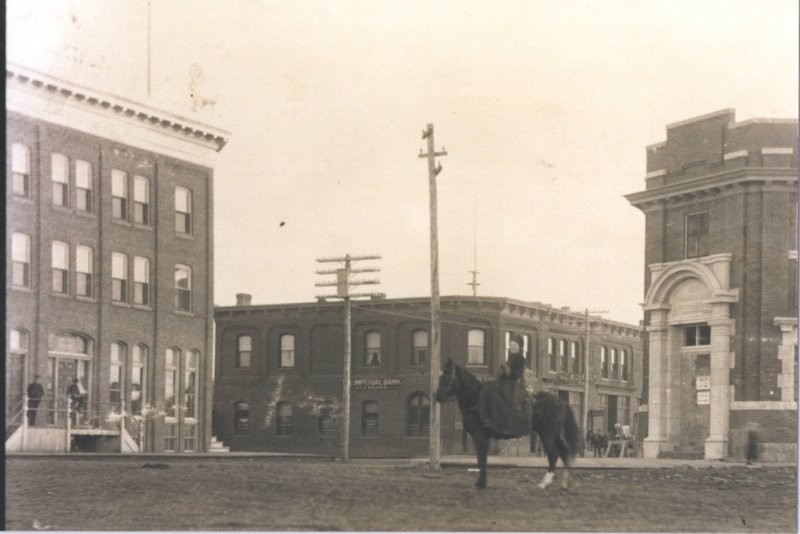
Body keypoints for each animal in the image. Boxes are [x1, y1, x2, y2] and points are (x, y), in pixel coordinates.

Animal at [434, 360, 580, 490]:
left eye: (446, 375)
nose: (438, 396)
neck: (476, 400)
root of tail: (560, 401)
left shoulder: (480, 437)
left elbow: (481, 460)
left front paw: (481, 483)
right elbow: (482, 460)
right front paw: (481, 482)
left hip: (547, 435)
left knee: (553, 454)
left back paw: (545, 483)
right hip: (554, 435)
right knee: (564, 452)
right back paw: (566, 483)